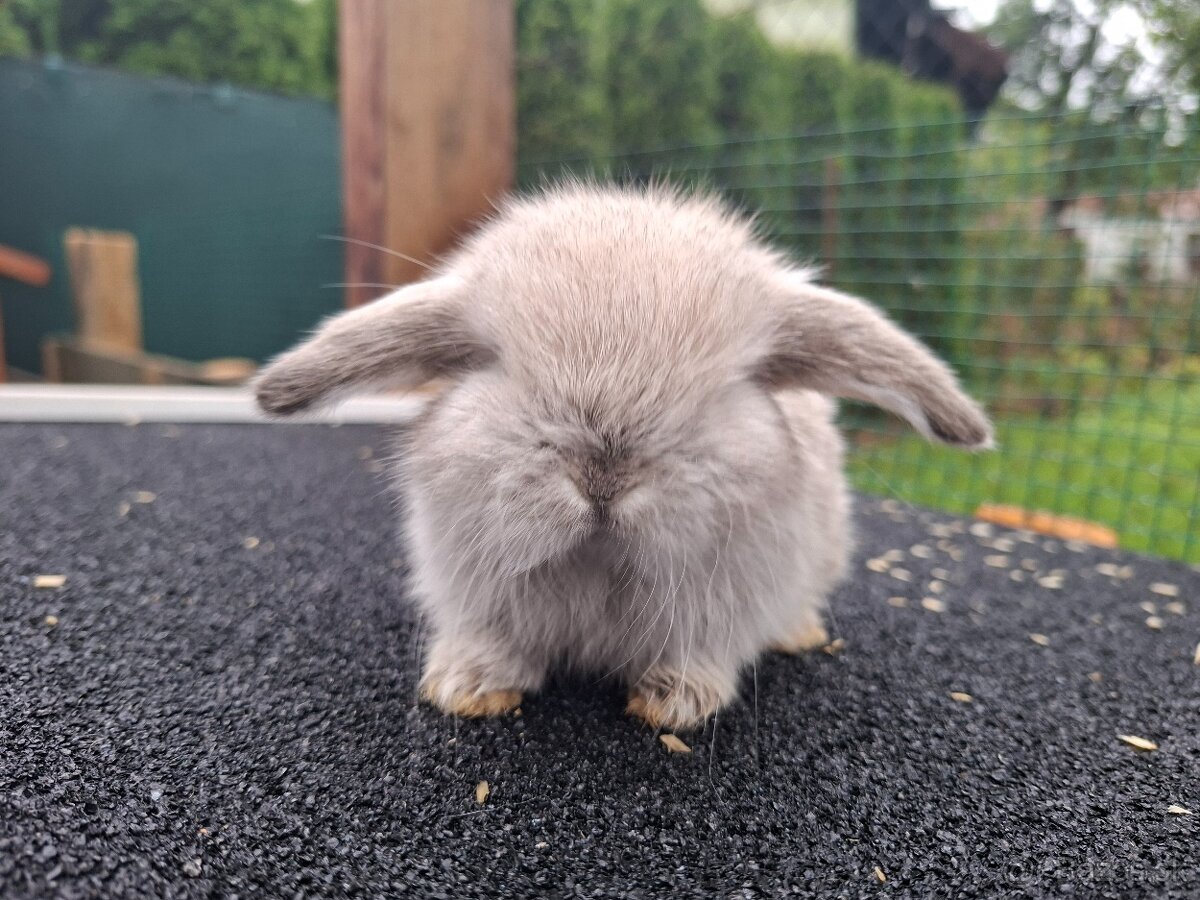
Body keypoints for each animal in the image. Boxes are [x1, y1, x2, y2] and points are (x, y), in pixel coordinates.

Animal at [255, 182, 991, 730]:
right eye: (495, 364)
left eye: (726, 388)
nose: (603, 477)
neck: (600, 565)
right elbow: (492, 642)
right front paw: (468, 688)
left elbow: (702, 654)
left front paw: (674, 702)